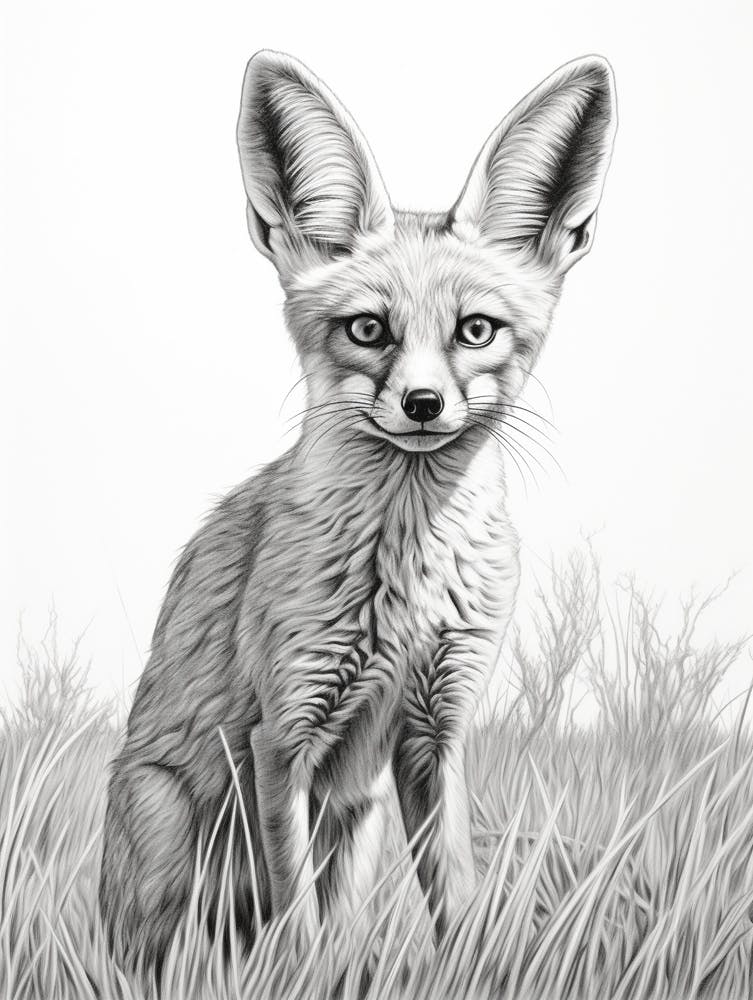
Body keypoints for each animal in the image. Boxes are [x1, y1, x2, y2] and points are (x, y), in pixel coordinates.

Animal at [99, 49, 616, 971]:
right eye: (368, 329)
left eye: (475, 330)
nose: (421, 404)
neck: (406, 581)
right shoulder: (282, 739)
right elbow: (298, 927)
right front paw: (302, 976)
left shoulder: (434, 733)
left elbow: (454, 896)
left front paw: (475, 971)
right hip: (168, 832)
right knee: (157, 952)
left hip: (359, 819)